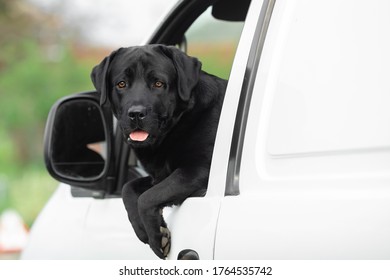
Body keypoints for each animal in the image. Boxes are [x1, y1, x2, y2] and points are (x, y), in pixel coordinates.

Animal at [90, 44, 225, 258]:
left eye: (159, 83)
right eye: (121, 84)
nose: (136, 113)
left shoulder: (199, 169)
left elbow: (148, 197)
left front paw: (156, 237)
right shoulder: (159, 175)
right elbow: (129, 188)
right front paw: (143, 231)